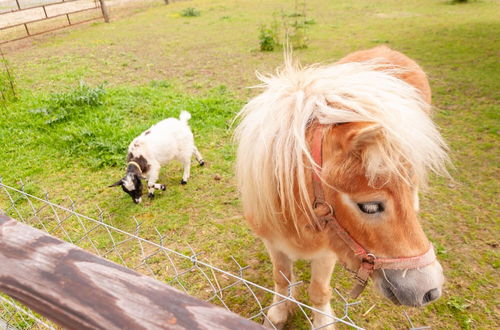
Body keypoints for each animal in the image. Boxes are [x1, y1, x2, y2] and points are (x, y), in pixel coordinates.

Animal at [234, 45, 450, 328]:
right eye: (369, 206)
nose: (430, 291)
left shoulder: (328, 251)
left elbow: (318, 291)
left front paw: (322, 321)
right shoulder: (272, 241)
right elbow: (281, 277)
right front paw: (278, 313)